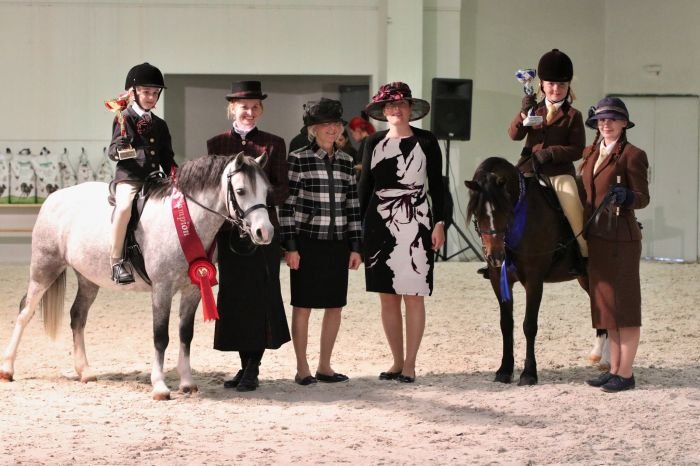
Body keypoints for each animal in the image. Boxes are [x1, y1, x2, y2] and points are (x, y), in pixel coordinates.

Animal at [0, 152, 272, 400]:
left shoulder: (193, 288)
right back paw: (8, 369)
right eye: (240, 191)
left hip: (88, 279)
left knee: (77, 316)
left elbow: (186, 334)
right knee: (25, 312)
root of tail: (54, 197)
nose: (264, 232)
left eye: (266, 191)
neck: (186, 220)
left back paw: (85, 372)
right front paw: (160, 387)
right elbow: (160, 336)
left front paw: (186, 383)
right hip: (45, 268)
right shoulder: (162, 289)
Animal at [465, 156, 601, 385]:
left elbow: (529, 325)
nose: (495, 257)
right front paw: (504, 369)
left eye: (505, 210)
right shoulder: (498, 279)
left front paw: (529, 373)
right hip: (585, 278)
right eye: (477, 213)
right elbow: (506, 324)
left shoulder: (534, 280)